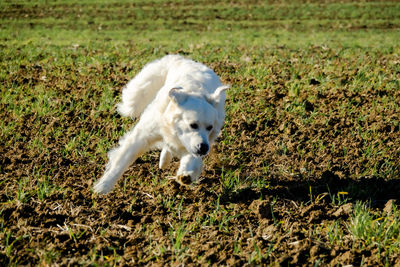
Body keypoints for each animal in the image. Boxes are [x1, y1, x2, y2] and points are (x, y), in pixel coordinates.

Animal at [94, 55, 230, 195]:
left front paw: (186, 174)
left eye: (210, 128)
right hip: (137, 94)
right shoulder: (143, 135)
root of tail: (183, 59)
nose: (203, 148)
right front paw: (104, 186)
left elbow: (191, 158)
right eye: (193, 125)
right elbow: (122, 160)